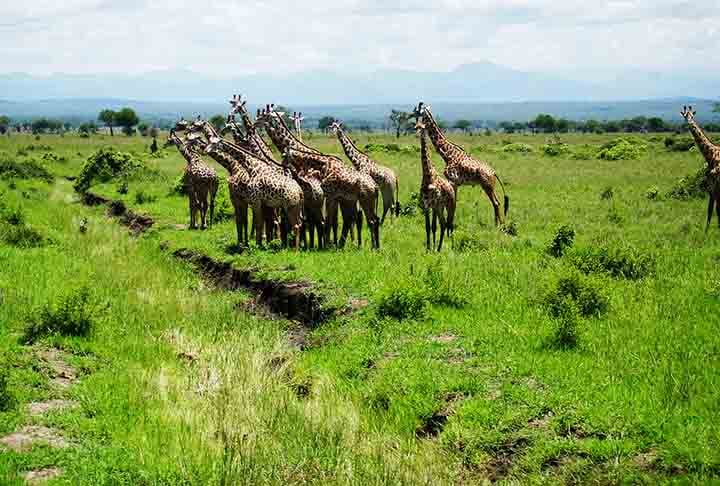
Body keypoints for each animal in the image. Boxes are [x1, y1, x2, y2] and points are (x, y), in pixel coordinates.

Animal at [416, 119, 456, 252]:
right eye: (415, 127)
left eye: (423, 128)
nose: (417, 135)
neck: (428, 176)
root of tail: (452, 188)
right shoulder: (426, 205)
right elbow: (428, 227)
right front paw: (428, 248)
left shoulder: (434, 204)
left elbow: (434, 226)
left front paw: (431, 248)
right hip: (440, 207)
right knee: (443, 224)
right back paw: (437, 248)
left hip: (449, 206)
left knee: (448, 224)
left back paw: (444, 248)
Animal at [680, 106, 720, 234]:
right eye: (685, 116)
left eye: (692, 116)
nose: (690, 123)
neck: (710, 156)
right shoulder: (711, 188)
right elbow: (710, 210)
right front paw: (706, 233)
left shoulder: (715, 187)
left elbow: (715, 210)